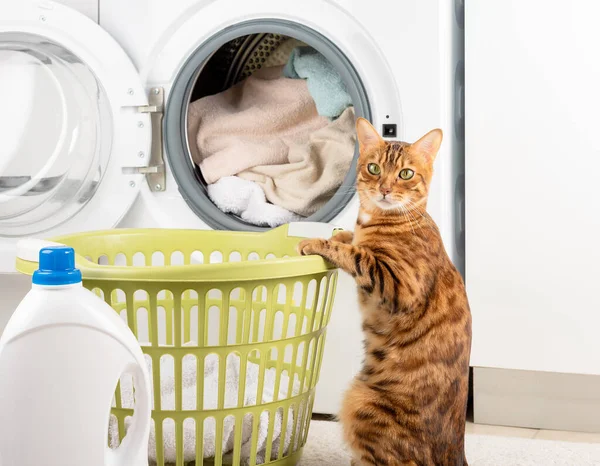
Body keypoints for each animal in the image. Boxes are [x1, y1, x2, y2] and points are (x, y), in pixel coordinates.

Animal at [298, 118, 472, 464]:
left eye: (405, 174)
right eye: (374, 168)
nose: (385, 189)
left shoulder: (399, 286)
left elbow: (357, 254)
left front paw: (315, 241)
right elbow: (349, 240)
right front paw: (338, 234)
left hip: (361, 403)